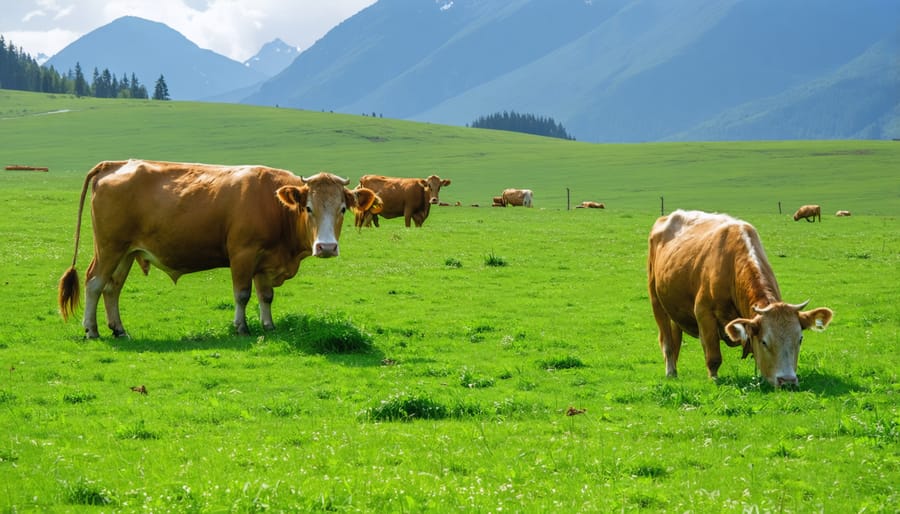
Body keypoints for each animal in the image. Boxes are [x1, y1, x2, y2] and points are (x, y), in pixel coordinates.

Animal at [57, 158, 376, 338]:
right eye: (309, 208)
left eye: (343, 209)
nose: (326, 247)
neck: (274, 205)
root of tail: (115, 164)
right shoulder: (243, 254)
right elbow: (242, 294)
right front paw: (241, 328)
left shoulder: (265, 261)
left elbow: (266, 296)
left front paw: (269, 326)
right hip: (109, 248)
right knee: (94, 283)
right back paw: (91, 330)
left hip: (127, 252)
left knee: (112, 288)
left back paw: (119, 329)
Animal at [648, 208, 836, 384]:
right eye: (764, 342)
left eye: (800, 339)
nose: (787, 381)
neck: (731, 266)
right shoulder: (704, 313)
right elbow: (713, 356)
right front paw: (714, 380)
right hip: (656, 300)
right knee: (668, 342)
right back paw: (670, 371)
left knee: (676, 338)